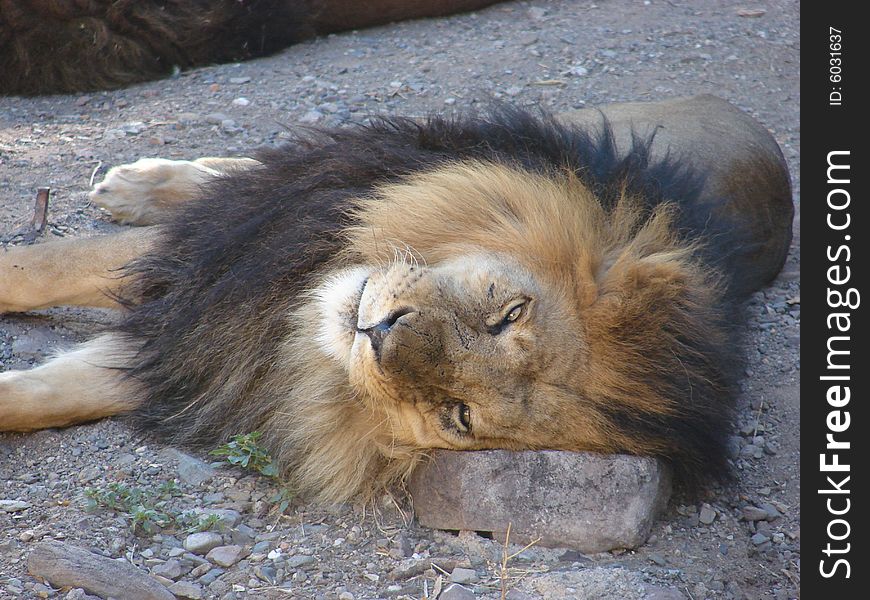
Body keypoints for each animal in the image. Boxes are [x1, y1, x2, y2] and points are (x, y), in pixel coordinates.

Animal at [0, 97, 796, 502]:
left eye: (460, 416)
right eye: (507, 313)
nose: (379, 330)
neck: (297, 319)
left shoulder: (205, 351)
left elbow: (55, 392)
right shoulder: (226, 255)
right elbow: (42, 264)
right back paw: (138, 184)